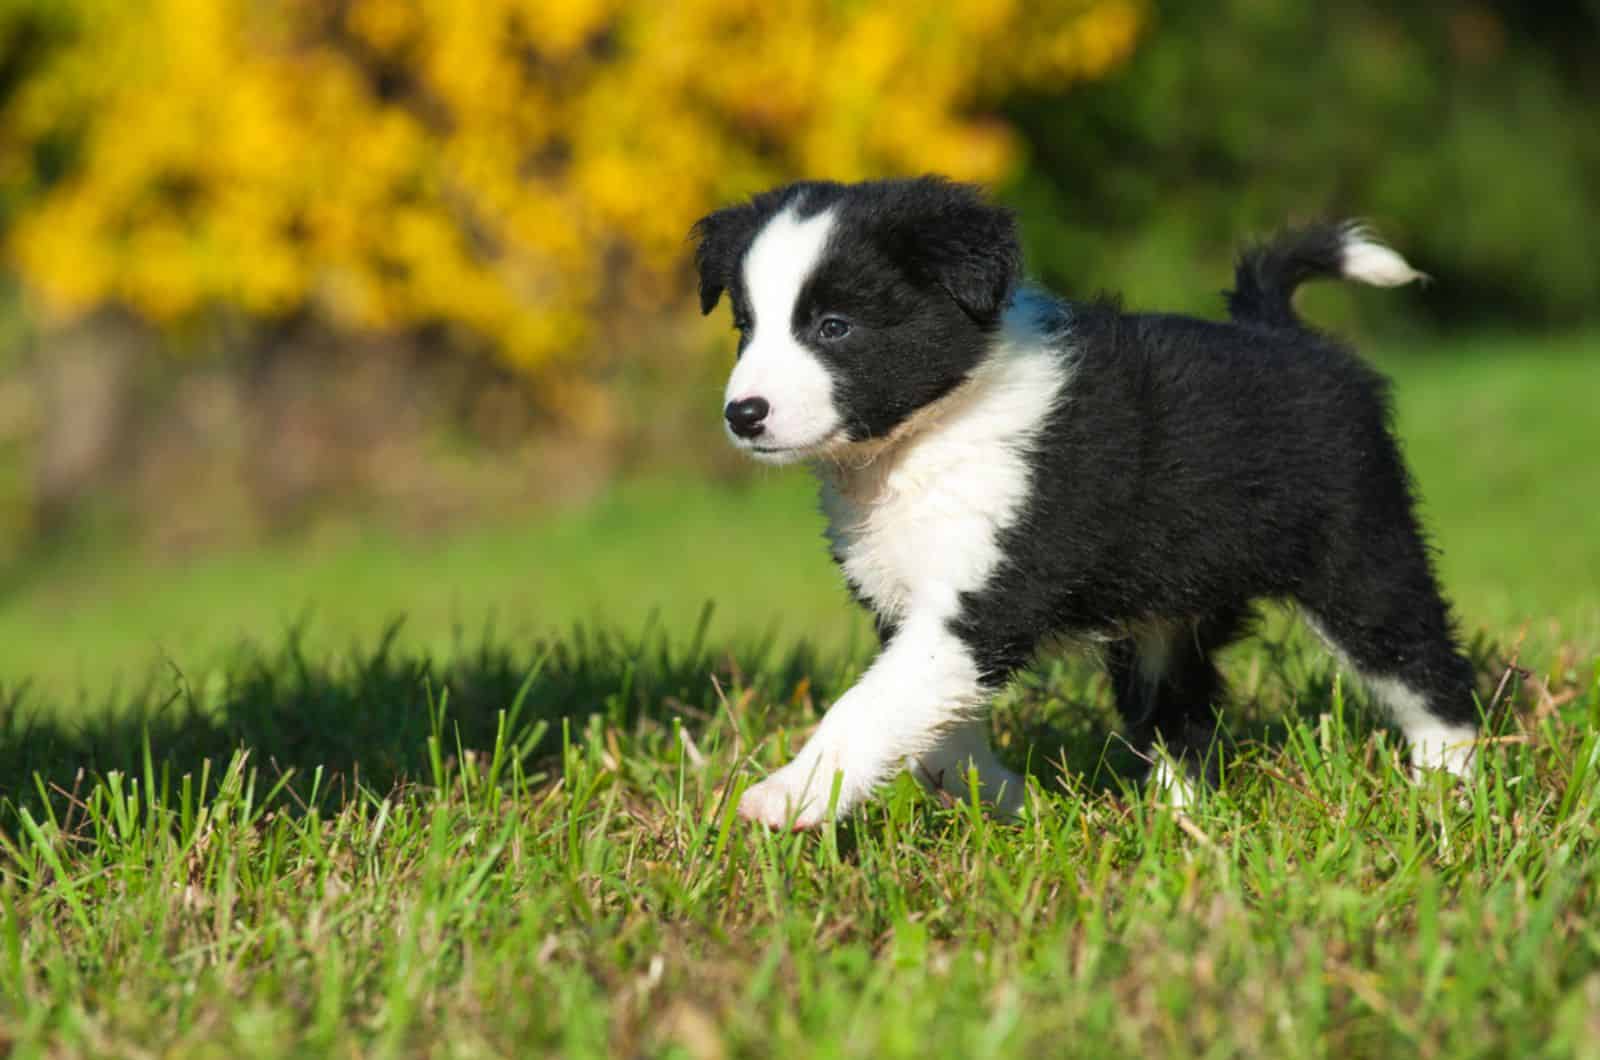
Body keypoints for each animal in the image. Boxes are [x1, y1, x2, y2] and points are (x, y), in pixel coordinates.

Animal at [694, 176, 1478, 832]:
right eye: (745, 327)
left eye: (834, 326)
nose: (743, 414)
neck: (923, 440)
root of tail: (1283, 333)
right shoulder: (908, 602)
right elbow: (931, 736)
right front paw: (1014, 803)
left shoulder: (986, 594)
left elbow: (870, 706)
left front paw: (785, 797)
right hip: (1166, 613)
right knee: (1179, 713)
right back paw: (1176, 823)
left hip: (1358, 557)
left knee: (1427, 672)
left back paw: (1450, 793)